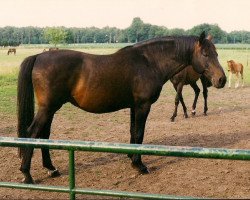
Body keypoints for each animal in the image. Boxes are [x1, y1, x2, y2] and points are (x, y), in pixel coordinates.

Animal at [16, 32, 227, 184]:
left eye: (217, 53)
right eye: (205, 54)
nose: (221, 80)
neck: (149, 62)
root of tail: (39, 56)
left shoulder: (134, 106)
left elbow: (133, 133)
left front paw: (131, 157)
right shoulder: (142, 106)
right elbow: (139, 133)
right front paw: (139, 165)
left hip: (51, 108)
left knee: (44, 134)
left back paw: (51, 169)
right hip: (48, 108)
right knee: (33, 133)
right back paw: (27, 174)